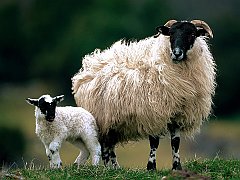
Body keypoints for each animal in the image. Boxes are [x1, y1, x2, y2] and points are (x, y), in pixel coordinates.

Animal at [71, 19, 216, 170]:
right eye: (171, 34)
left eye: (192, 34)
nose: (176, 53)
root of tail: (90, 64)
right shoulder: (153, 112)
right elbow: (154, 142)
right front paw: (151, 167)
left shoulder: (177, 114)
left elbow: (175, 143)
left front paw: (177, 167)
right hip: (103, 119)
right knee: (105, 147)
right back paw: (108, 168)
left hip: (114, 122)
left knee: (110, 146)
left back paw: (116, 167)